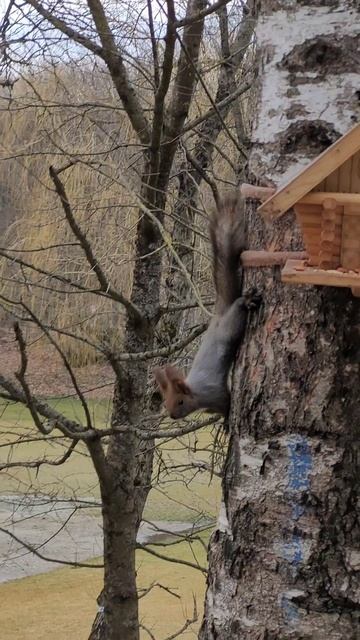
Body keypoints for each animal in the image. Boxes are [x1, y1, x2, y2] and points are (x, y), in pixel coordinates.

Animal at [153, 195, 260, 424]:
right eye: (165, 402)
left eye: (180, 402)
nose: (172, 415)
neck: (196, 394)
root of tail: (220, 313)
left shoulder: (215, 393)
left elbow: (226, 403)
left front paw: (227, 421)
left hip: (232, 324)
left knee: (239, 307)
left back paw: (247, 301)